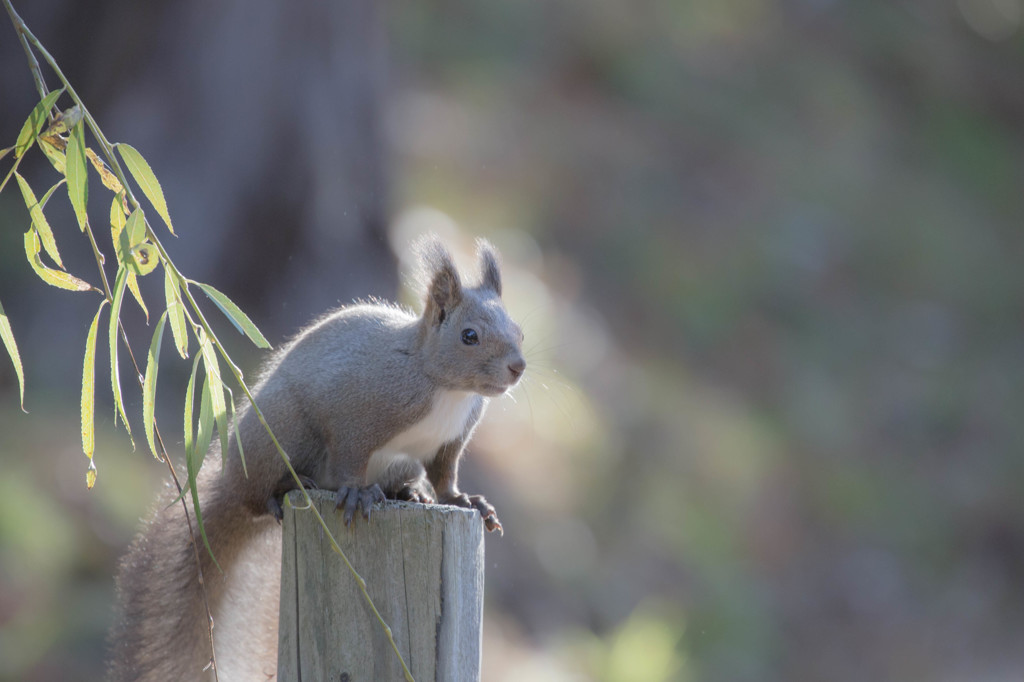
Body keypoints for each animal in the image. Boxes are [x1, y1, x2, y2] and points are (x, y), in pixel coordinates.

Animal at [107, 235, 524, 679]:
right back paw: (287, 487)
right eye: (469, 335)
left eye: (518, 330)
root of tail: (231, 482)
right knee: (257, 496)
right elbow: (350, 458)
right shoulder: (355, 415)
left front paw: (465, 501)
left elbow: (445, 476)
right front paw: (358, 494)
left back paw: (409, 492)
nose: (518, 367)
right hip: (283, 433)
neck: (443, 386)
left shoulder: (450, 441)